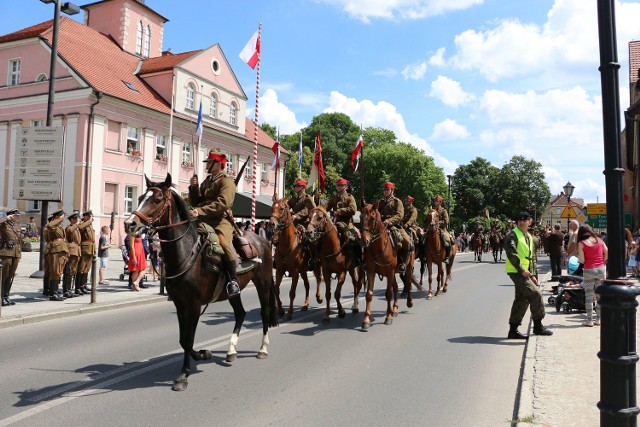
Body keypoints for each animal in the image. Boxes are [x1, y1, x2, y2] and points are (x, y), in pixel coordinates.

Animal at [124, 174, 276, 392]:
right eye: (140, 198)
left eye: (157, 200)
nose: (130, 224)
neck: (187, 252)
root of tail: (262, 241)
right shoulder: (180, 305)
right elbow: (183, 340)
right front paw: (203, 354)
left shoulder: (194, 305)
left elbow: (188, 339)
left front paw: (183, 376)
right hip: (234, 292)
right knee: (240, 314)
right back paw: (231, 351)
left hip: (262, 283)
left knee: (264, 312)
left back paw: (262, 349)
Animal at [360, 202, 416, 330]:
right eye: (360, 217)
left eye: (372, 217)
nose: (364, 241)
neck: (378, 247)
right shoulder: (371, 271)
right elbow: (369, 294)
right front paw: (366, 320)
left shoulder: (390, 272)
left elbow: (388, 293)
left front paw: (388, 317)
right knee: (395, 287)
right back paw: (394, 309)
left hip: (407, 267)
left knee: (408, 283)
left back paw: (409, 302)